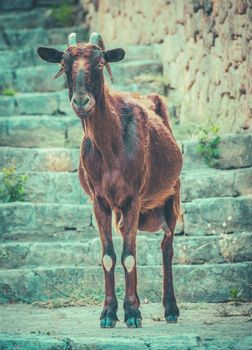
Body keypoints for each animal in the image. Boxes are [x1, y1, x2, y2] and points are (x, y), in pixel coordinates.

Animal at [37, 32, 182, 328]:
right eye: (64, 63)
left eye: (101, 62)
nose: (82, 101)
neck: (111, 147)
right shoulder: (100, 201)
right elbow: (109, 256)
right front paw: (109, 313)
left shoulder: (133, 197)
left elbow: (128, 257)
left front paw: (133, 313)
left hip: (172, 195)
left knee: (167, 248)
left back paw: (171, 309)